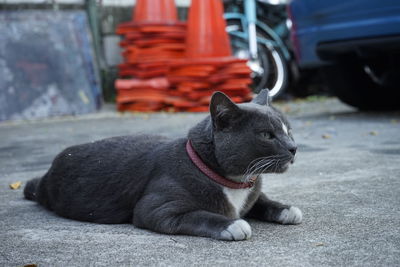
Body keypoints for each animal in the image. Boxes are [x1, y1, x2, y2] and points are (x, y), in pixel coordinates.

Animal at [23, 89, 302, 241]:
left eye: (288, 130)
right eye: (266, 135)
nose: (293, 147)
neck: (233, 182)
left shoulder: (252, 195)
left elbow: (262, 201)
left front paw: (286, 209)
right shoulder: (157, 208)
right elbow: (199, 214)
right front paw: (232, 225)